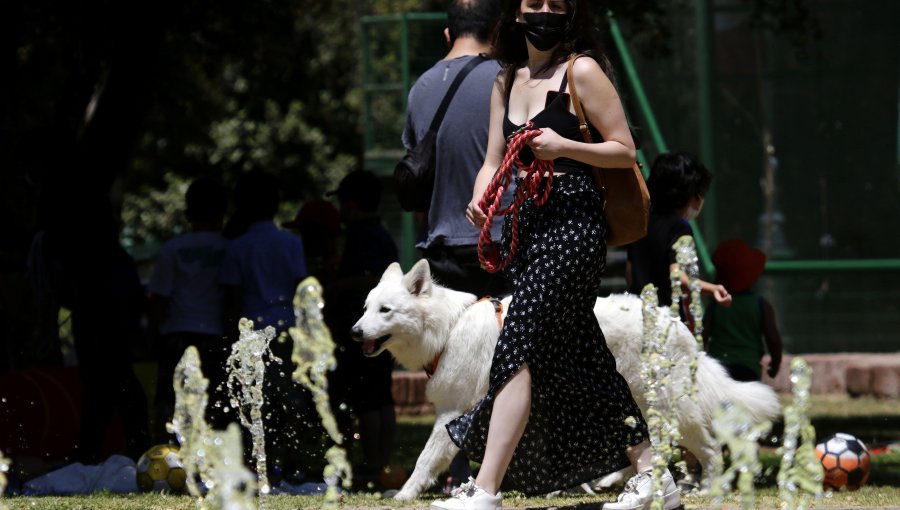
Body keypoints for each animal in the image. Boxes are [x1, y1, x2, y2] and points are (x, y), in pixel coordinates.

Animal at [352, 260, 780, 500]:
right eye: (366, 308)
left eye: (385, 311)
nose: (354, 333)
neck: (448, 327)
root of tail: (677, 325)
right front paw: (566, 488)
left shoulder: (452, 414)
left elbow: (425, 460)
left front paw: (403, 495)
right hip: (628, 403)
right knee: (653, 445)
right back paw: (616, 480)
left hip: (665, 407)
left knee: (704, 447)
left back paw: (708, 489)